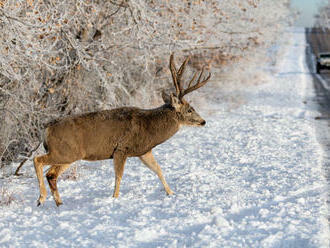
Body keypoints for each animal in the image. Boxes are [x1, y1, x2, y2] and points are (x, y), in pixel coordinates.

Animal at [32, 54, 209, 207]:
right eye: (190, 110)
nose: (203, 121)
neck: (148, 128)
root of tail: (46, 129)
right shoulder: (121, 148)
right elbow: (119, 176)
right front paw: (115, 198)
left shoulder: (144, 151)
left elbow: (158, 170)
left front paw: (171, 193)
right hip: (66, 152)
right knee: (37, 160)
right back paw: (41, 199)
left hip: (69, 155)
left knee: (51, 174)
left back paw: (59, 203)